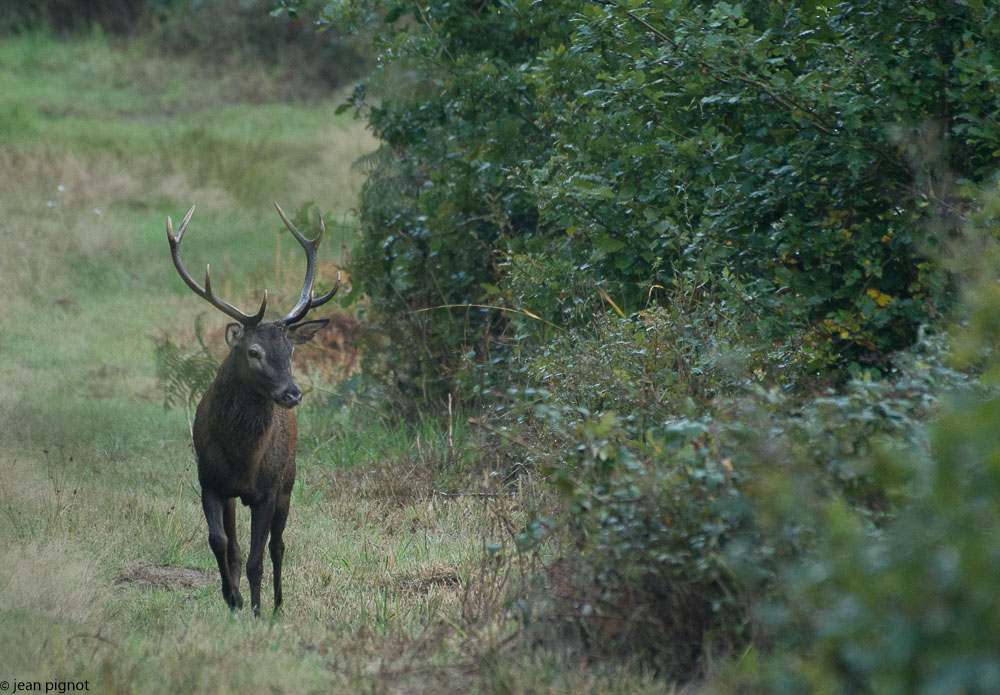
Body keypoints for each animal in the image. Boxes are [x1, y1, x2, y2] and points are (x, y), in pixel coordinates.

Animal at [164, 204, 336, 616]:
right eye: (253, 351)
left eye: (290, 350)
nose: (292, 394)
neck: (243, 458)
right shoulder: (210, 482)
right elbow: (222, 544)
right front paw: (233, 598)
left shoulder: (268, 490)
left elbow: (260, 556)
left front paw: (257, 609)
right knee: (240, 546)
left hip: (290, 477)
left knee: (278, 546)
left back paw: (277, 603)